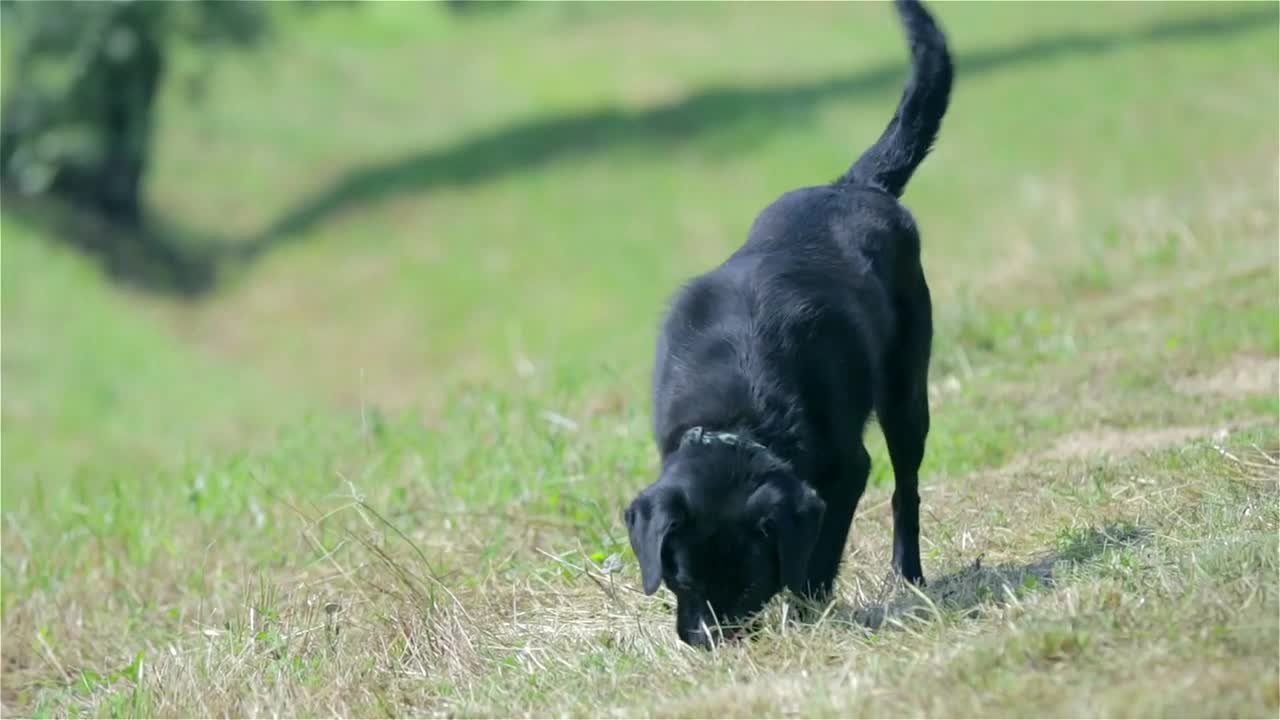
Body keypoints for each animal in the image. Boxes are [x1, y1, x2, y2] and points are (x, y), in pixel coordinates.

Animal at [622, 0, 952, 645]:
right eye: (680, 579)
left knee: (907, 491)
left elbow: (818, 553)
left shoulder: (846, 470)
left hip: (906, 395)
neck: (735, 414)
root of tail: (854, 185)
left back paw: (909, 574)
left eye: (750, 582)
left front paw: (807, 608)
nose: (708, 642)